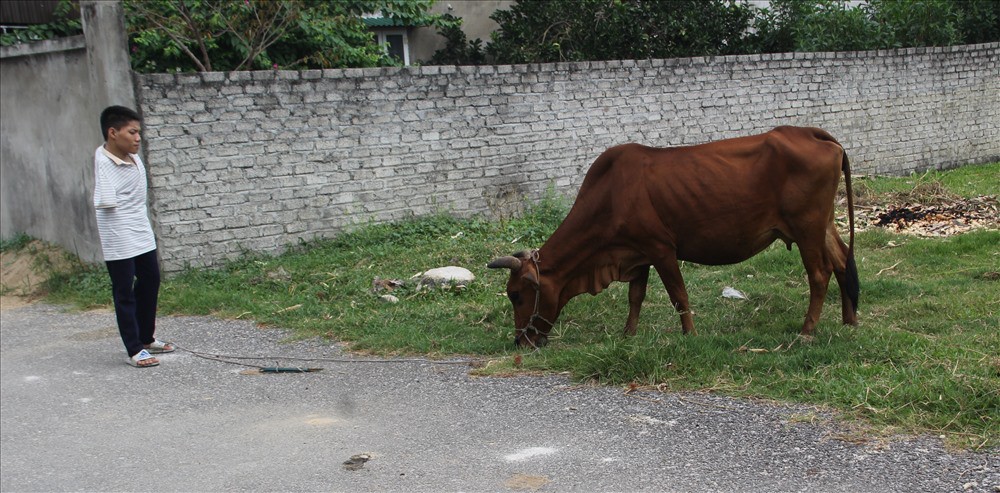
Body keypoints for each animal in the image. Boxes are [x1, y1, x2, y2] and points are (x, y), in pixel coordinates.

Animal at [488, 126, 856, 346]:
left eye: (516, 295)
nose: (520, 342)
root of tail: (812, 134)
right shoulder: (636, 256)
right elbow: (635, 297)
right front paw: (628, 334)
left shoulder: (661, 248)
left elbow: (679, 296)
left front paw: (689, 335)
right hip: (823, 226)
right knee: (842, 261)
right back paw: (849, 321)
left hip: (807, 228)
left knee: (820, 274)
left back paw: (807, 331)